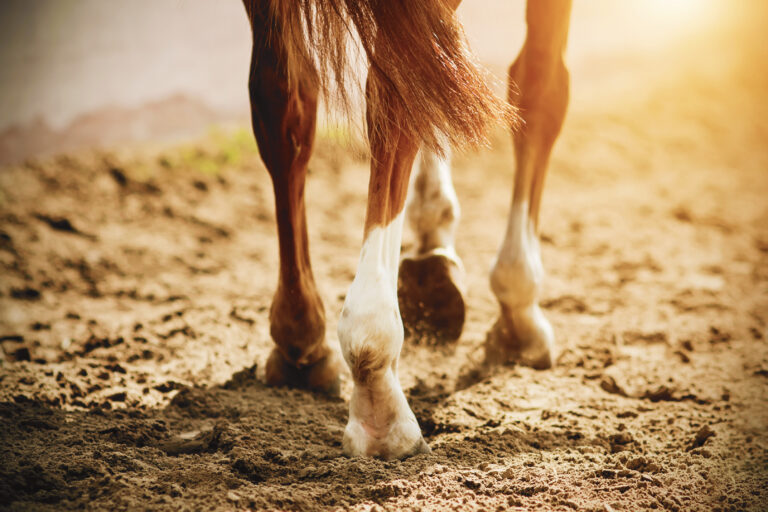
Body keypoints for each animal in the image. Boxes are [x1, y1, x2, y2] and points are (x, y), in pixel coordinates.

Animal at [241, 0, 571, 459]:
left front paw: (433, 236)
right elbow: (540, 85)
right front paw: (518, 308)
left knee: (284, 96)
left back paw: (300, 336)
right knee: (393, 93)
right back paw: (377, 389)